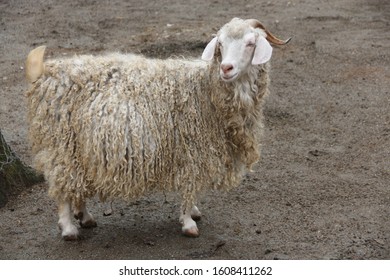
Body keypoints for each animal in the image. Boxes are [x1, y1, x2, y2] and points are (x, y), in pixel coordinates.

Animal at [24, 18, 286, 241]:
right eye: (220, 44)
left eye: (250, 43)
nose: (226, 68)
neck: (206, 89)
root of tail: (47, 70)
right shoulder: (192, 149)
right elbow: (189, 186)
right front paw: (189, 222)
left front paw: (194, 211)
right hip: (61, 145)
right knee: (62, 186)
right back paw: (69, 228)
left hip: (79, 151)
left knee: (75, 184)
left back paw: (85, 217)